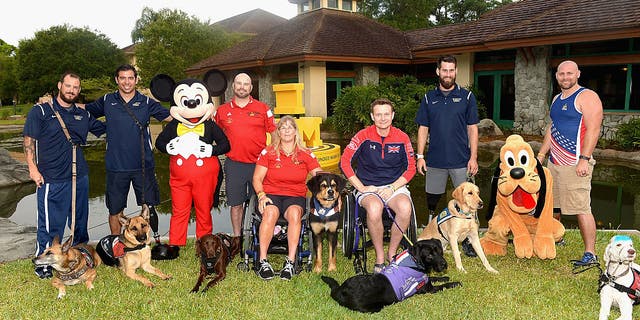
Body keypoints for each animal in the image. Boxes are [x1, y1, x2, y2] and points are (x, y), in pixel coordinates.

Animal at [322, 240, 462, 312]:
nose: (444, 265)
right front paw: (455, 283)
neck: (413, 261)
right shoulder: (429, 289)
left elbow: (433, 278)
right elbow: (444, 285)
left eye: (440, 251)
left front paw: (444, 277)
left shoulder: (426, 279)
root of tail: (340, 290)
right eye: (430, 256)